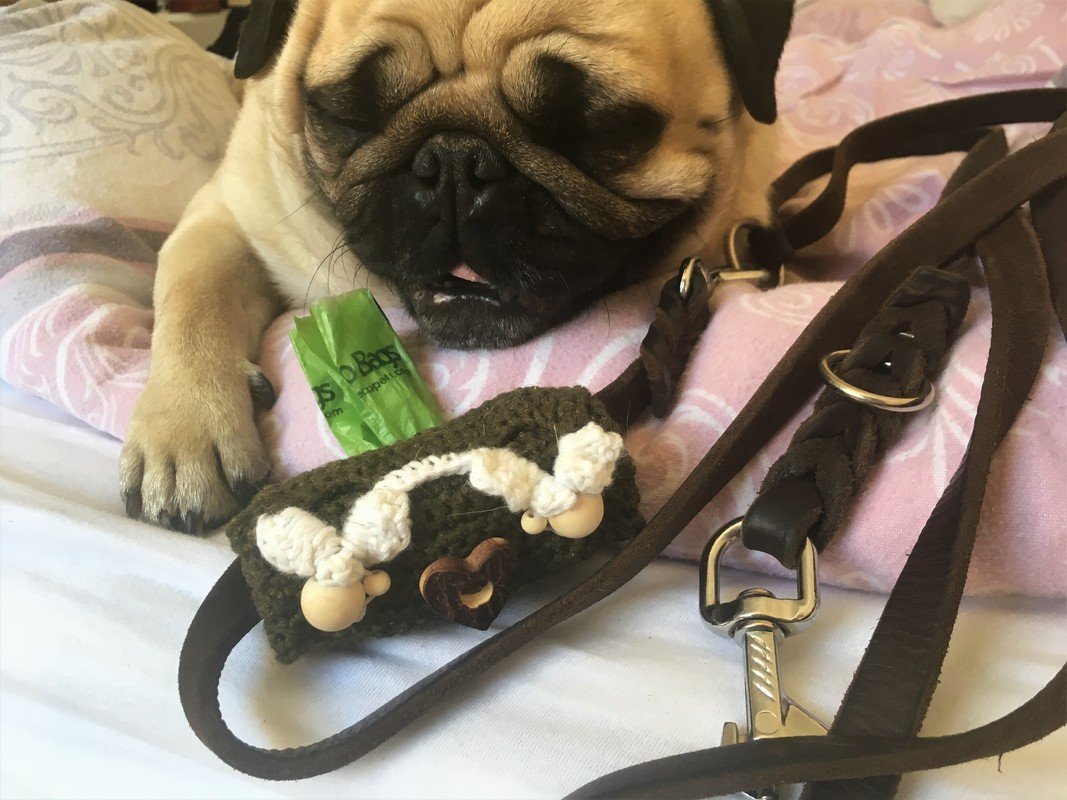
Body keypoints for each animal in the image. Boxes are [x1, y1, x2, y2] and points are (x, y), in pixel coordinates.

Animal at [120, 0, 794, 532]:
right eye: (346, 113)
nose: (454, 162)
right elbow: (191, 297)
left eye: (598, 128)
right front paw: (184, 430)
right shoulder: (228, 213)